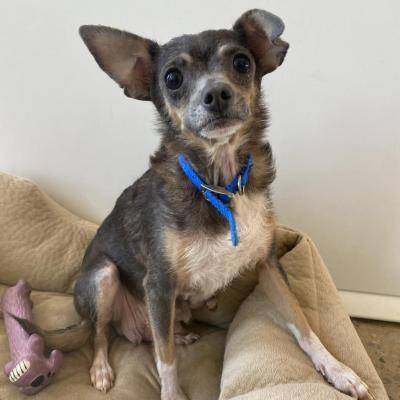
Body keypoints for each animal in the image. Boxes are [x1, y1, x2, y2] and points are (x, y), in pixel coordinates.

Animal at [31, 8, 372, 400]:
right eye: (172, 78)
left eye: (241, 63)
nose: (217, 93)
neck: (221, 185)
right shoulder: (160, 285)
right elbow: (165, 362)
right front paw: (171, 393)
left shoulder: (268, 265)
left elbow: (301, 324)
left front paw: (337, 369)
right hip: (103, 277)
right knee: (102, 334)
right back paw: (101, 368)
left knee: (153, 336)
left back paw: (180, 335)